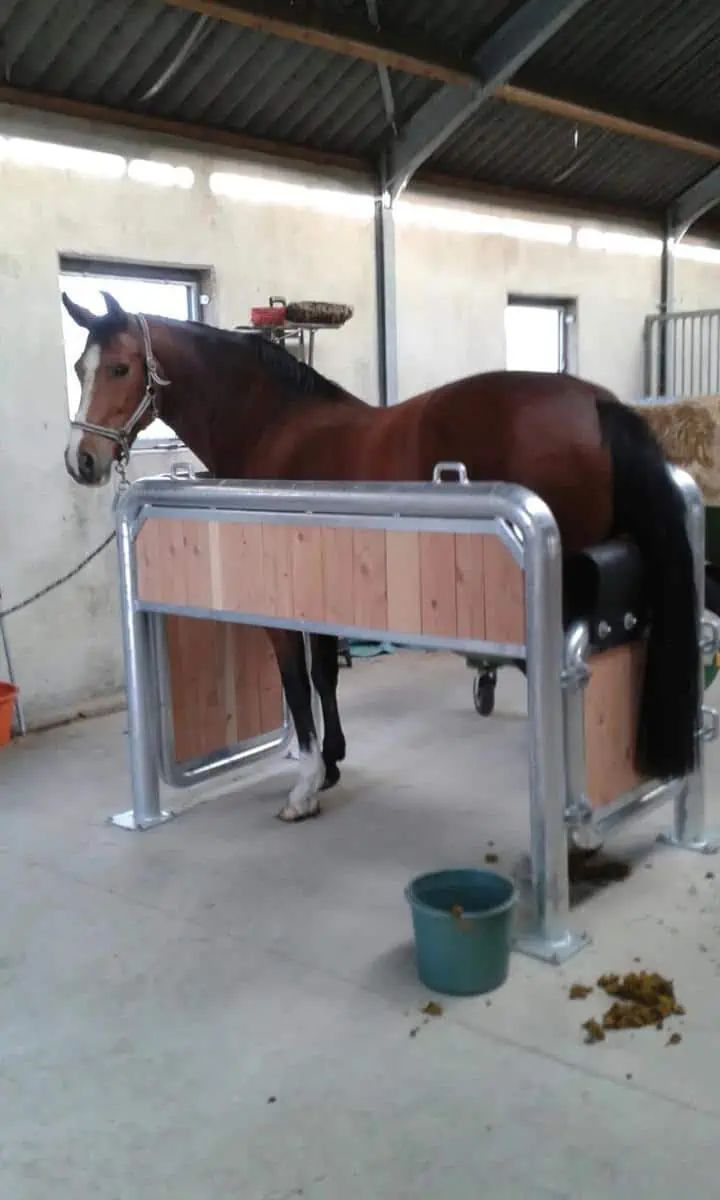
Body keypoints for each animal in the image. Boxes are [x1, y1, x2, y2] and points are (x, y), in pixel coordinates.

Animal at [62, 291, 699, 821]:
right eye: (79, 368)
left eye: (119, 368)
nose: (82, 460)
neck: (274, 425)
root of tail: (595, 403)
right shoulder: (321, 597)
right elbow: (325, 676)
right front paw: (333, 763)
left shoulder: (283, 608)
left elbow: (297, 684)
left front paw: (305, 787)